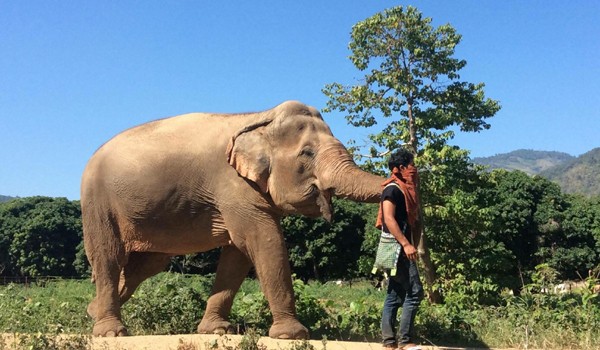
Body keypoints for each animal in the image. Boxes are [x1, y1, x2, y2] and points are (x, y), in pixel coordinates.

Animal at [79, 100, 384, 340]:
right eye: (307, 153)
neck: (259, 117)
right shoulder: (234, 187)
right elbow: (263, 241)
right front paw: (293, 335)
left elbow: (237, 256)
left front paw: (216, 330)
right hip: (98, 203)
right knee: (109, 257)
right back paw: (110, 332)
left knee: (147, 264)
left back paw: (92, 311)